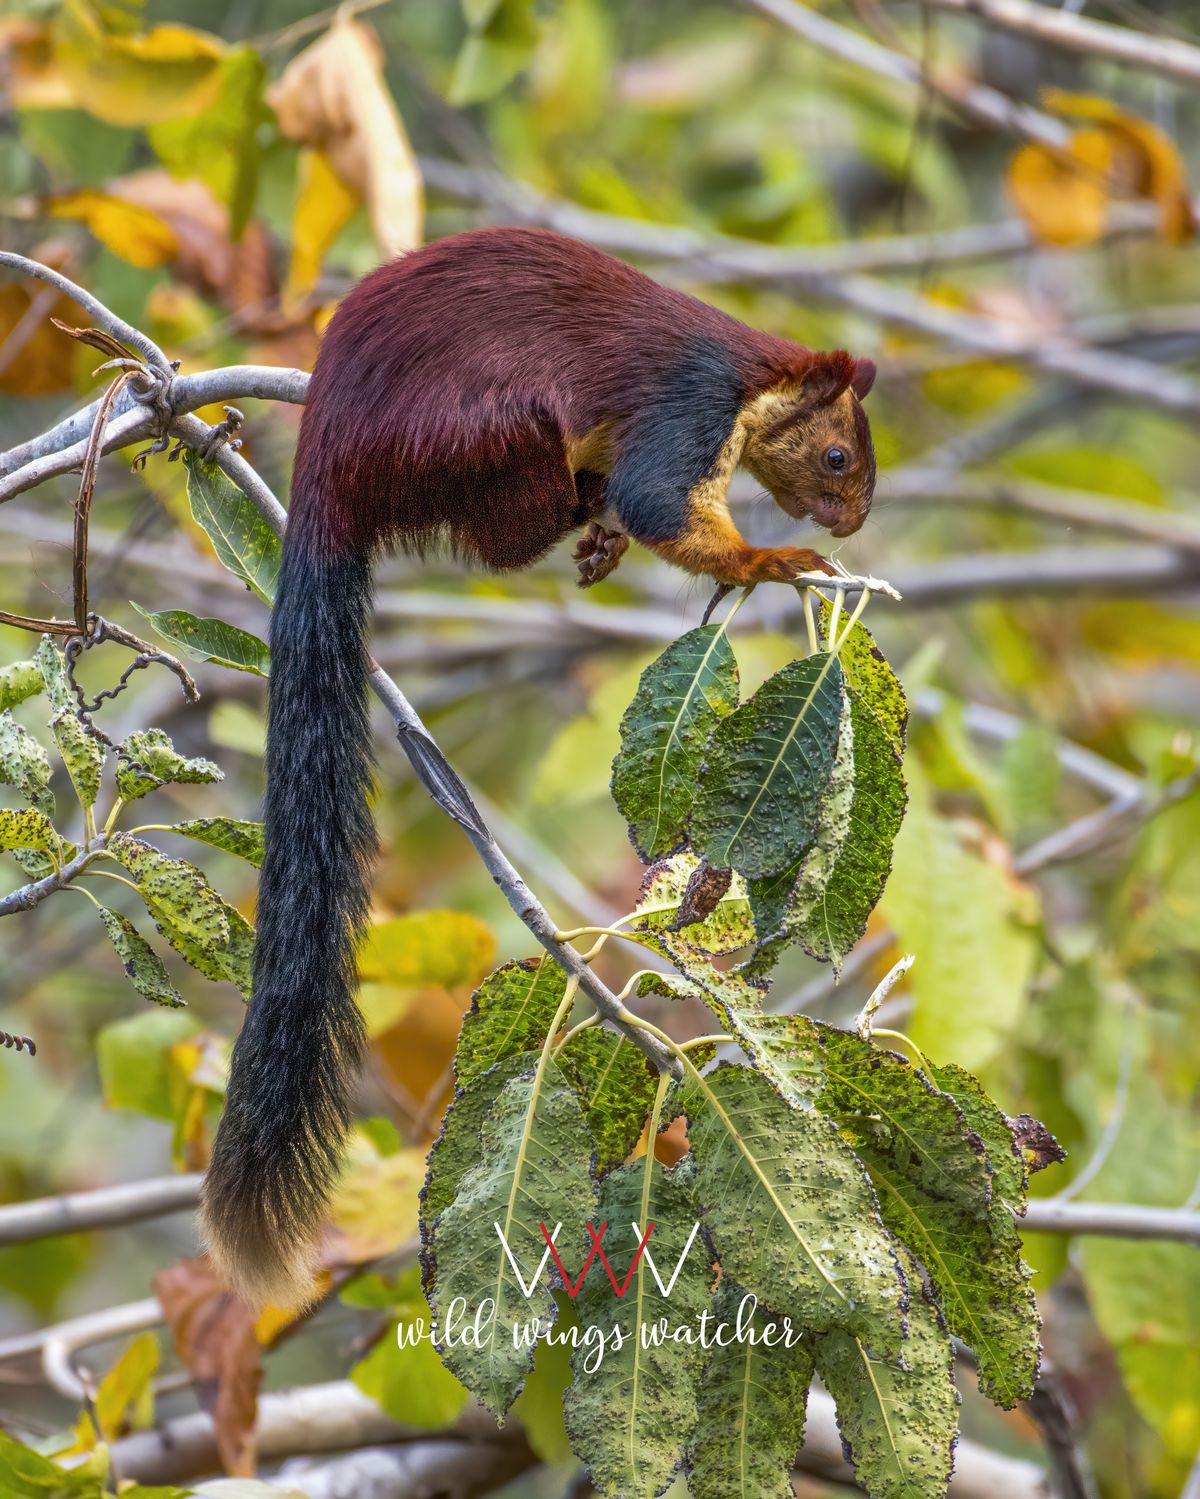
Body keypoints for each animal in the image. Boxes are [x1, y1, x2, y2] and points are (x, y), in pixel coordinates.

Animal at [201, 226, 878, 1307]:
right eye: (837, 453)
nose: (850, 522)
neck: (748, 378)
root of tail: (328, 473)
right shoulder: (687, 407)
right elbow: (661, 499)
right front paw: (771, 561)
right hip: (487, 432)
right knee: (505, 533)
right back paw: (576, 510)